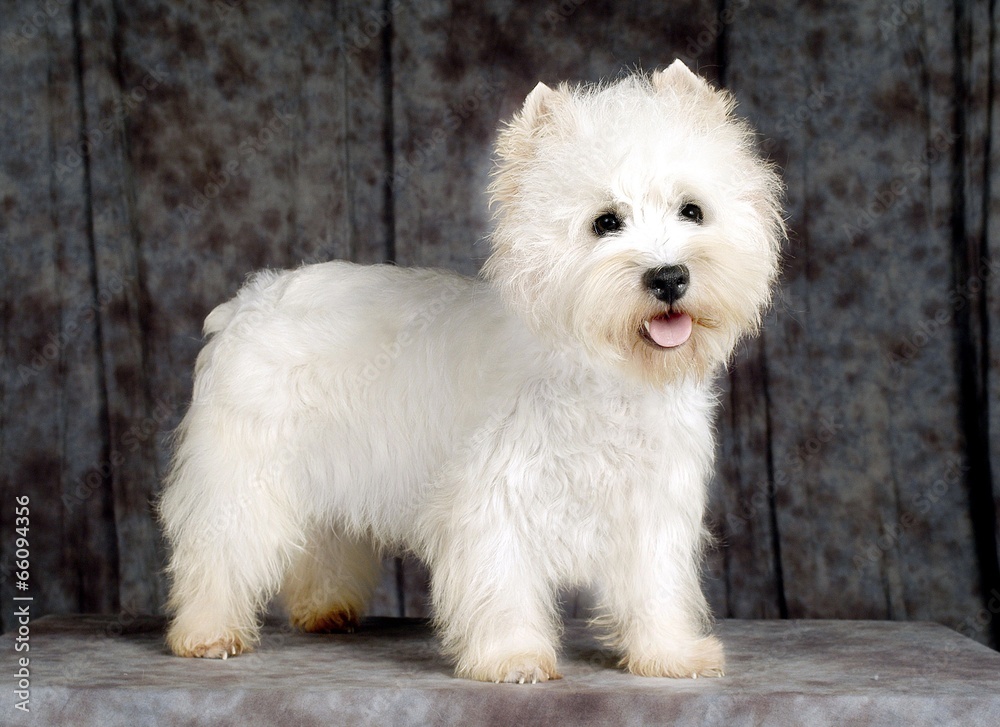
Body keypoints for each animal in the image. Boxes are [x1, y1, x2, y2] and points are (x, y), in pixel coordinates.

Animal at [158, 60, 784, 683]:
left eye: (692, 210)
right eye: (605, 222)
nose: (669, 276)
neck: (600, 374)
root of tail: (248, 302)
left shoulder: (651, 504)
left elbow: (656, 586)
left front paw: (671, 654)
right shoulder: (495, 498)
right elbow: (502, 582)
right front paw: (515, 658)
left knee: (322, 541)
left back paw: (325, 608)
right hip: (244, 474)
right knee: (216, 550)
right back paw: (208, 633)